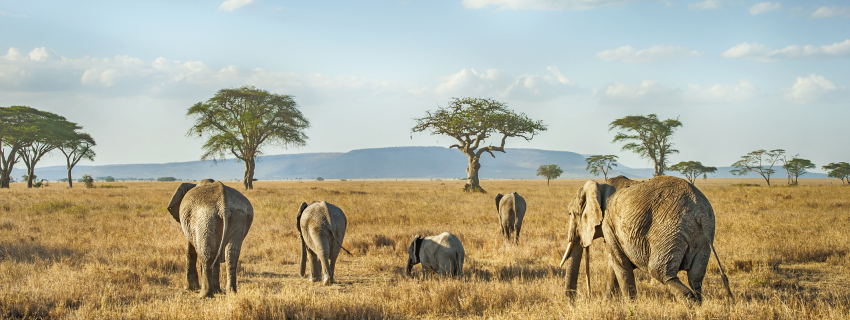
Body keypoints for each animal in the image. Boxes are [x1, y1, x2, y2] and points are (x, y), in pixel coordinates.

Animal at [556, 176, 728, 304]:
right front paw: (607, 304)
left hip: (669, 229)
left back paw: (691, 303)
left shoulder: (609, 223)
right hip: (704, 234)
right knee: (696, 275)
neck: (599, 185)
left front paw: (631, 306)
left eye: (571, 214)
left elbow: (620, 262)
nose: (572, 302)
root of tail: (700, 212)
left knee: (660, 271)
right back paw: (699, 304)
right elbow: (614, 263)